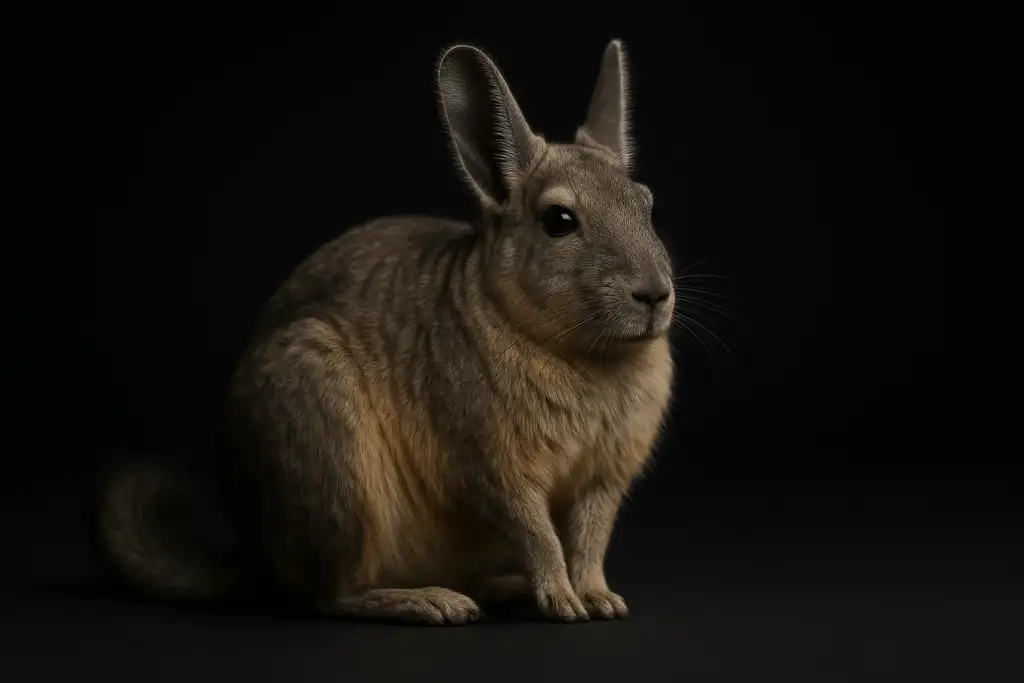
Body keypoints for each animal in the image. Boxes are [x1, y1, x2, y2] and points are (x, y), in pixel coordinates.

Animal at [96, 39, 676, 625]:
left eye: (647, 205)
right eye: (559, 220)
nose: (655, 295)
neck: (583, 354)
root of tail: (255, 552)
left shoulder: (605, 478)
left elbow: (589, 540)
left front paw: (600, 599)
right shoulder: (495, 470)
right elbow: (541, 537)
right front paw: (564, 603)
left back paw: (499, 589)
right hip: (339, 474)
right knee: (333, 594)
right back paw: (433, 602)